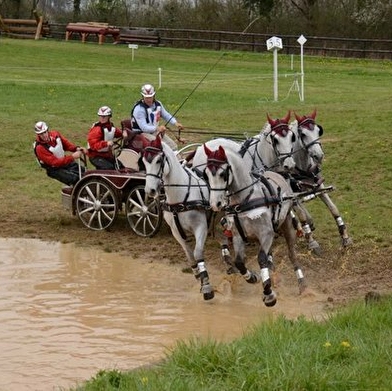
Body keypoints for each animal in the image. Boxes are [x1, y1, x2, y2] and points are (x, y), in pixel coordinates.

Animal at [141, 136, 214, 302]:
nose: (150, 190)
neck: (180, 197)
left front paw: (206, 285)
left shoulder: (201, 227)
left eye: (159, 161)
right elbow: (190, 255)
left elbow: (197, 253)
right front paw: (198, 276)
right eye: (143, 161)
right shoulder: (175, 231)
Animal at [202, 142, 306, 308]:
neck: (244, 200)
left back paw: (301, 283)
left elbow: (262, 258)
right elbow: (239, 262)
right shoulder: (238, 236)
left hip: (287, 226)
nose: (215, 204)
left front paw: (269, 294)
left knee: (292, 254)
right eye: (206, 174)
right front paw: (253, 277)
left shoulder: (266, 234)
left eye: (223, 174)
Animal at [290, 111, 352, 248]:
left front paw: (344, 235)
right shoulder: (292, 193)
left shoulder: (319, 186)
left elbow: (333, 208)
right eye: (303, 134)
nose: (319, 156)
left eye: (319, 131)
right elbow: (300, 214)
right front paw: (311, 240)